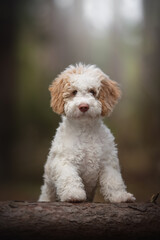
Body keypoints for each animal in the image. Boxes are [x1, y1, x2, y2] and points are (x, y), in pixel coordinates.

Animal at [38, 63, 135, 202]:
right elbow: (69, 177)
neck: (85, 129)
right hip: (48, 189)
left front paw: (120, 196)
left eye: (92, 92)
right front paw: (73, 193)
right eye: (74, 92)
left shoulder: (107, 162)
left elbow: (113, 181)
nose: (83, 106)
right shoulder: (65, 160)